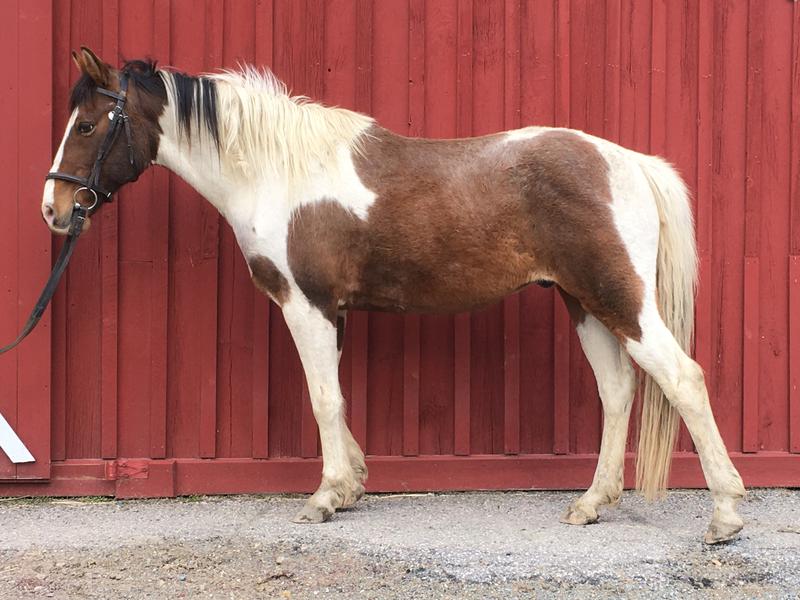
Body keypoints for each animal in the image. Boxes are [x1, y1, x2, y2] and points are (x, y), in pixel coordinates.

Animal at [42, 47, 746, 544]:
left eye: (88, 124)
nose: (54, 209)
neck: (278, 173)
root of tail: (628, 162)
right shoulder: (334, 312)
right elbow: (337, 398)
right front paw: (352, 484)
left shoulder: (307, 305)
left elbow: (323, 398)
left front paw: (324, 497)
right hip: (585, 305)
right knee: (619, 392)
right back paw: (592, 504)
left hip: (620, 301)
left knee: (683, 379)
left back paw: (726, 515)